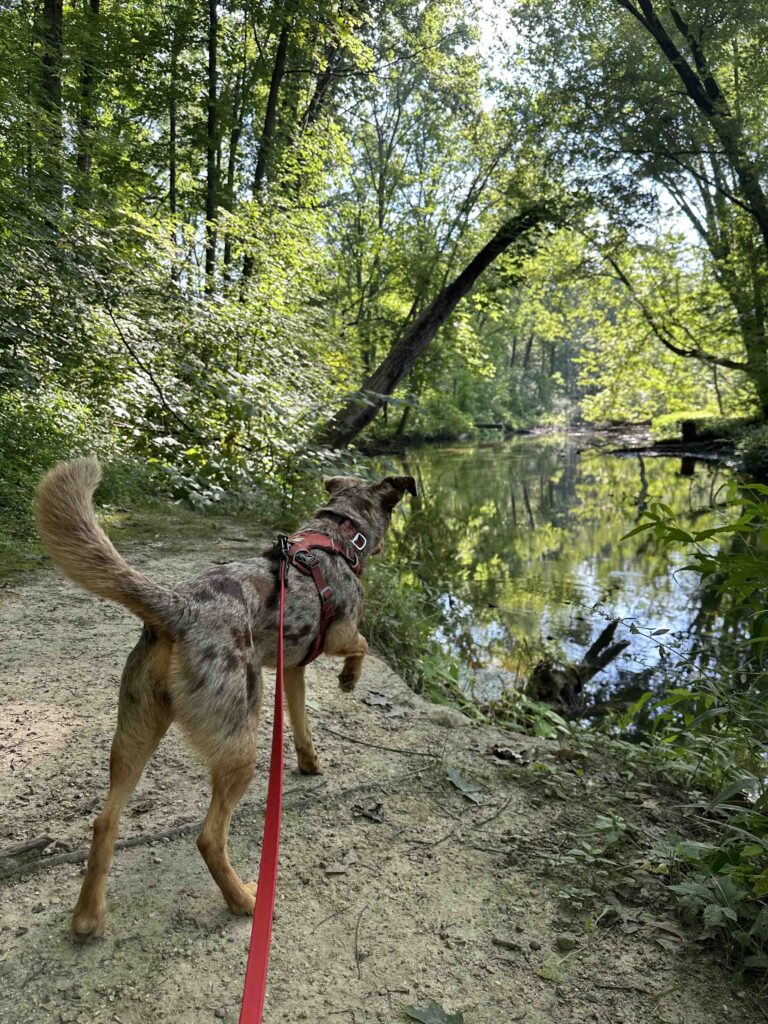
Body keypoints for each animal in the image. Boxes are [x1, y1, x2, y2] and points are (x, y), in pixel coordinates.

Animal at [35, 460, 415, 937]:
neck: (335, 534)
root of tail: (180, 608)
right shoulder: (340, 634)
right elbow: (361, 644)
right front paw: (349, 679)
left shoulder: (293, 670)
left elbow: (302, 723)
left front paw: (309, 762)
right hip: (240, 747)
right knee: (209, 837)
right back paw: (245, 900)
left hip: (134, 737)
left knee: (105, 822)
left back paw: (88, 916)